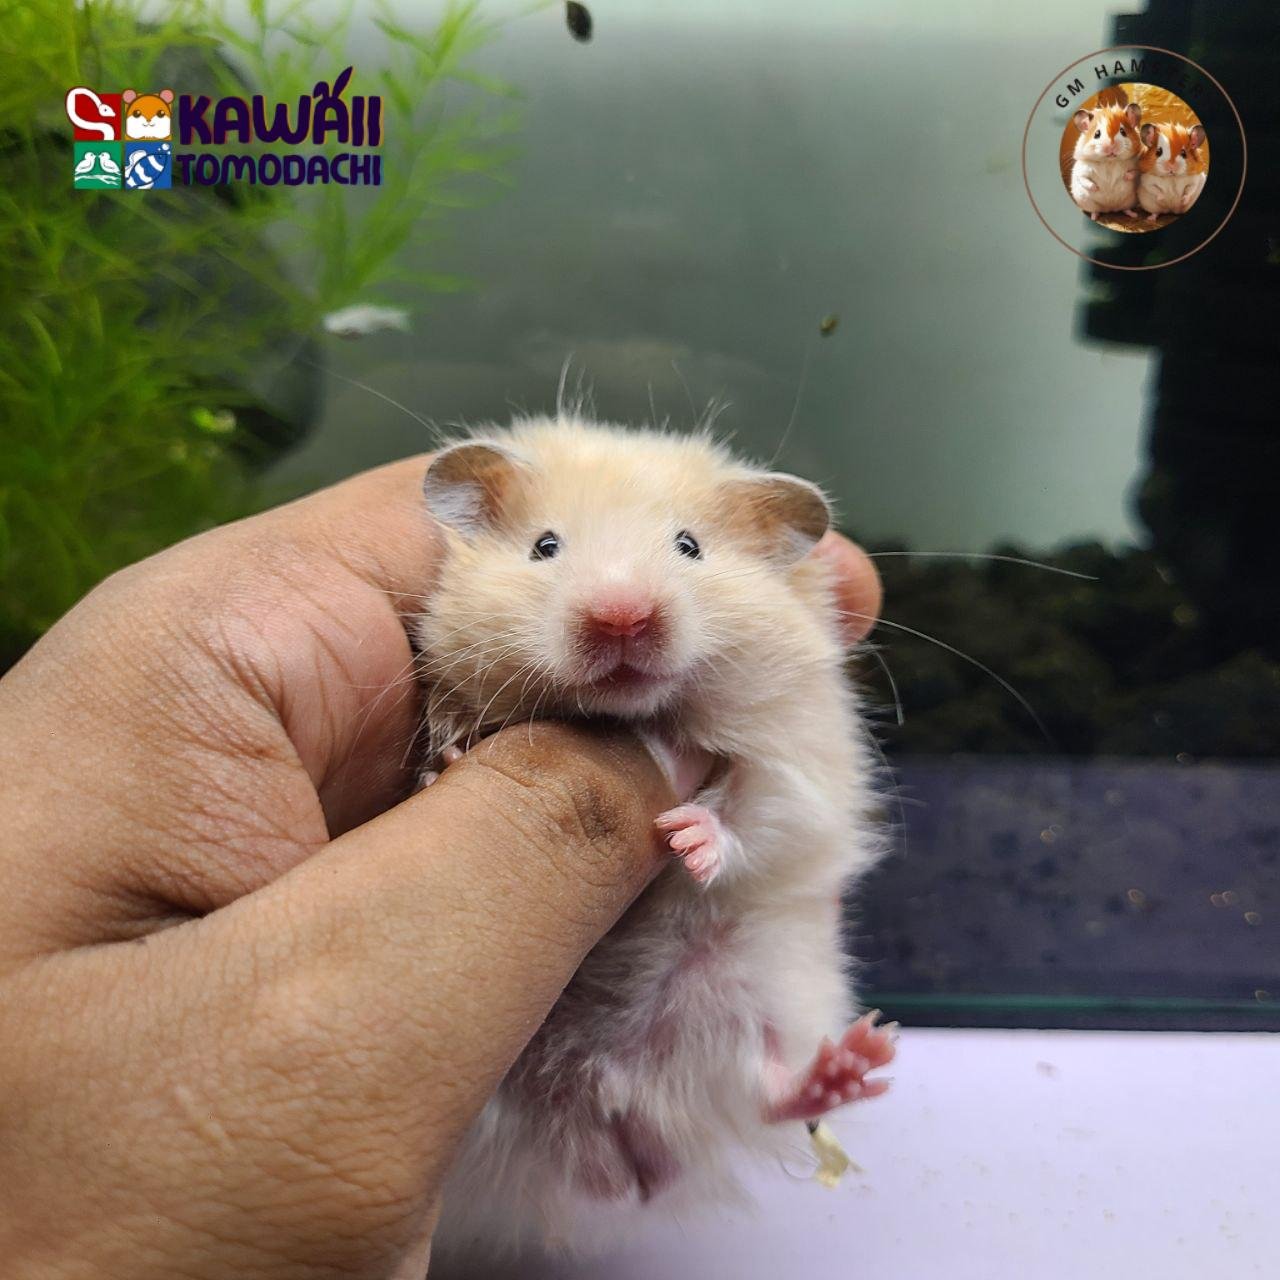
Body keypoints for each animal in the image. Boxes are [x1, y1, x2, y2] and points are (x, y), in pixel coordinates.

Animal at [414, 416, 894, 1259]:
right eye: (545, 546)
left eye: (689, 546)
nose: (621, 616)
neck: (637, 712)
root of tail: (620, 1128)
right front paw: (447, 765)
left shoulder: (796, 762)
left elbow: (751, 812)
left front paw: (687, 839)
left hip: (758, 983)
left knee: (764, 1090)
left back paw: (852, 1064)